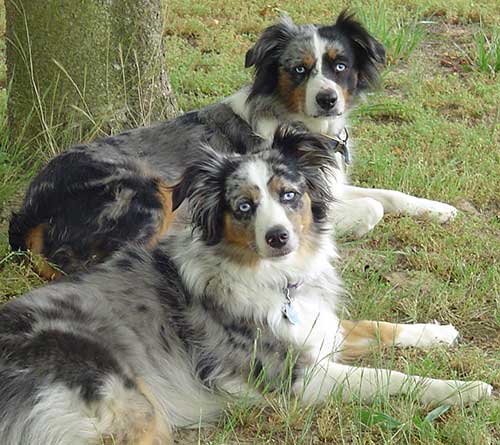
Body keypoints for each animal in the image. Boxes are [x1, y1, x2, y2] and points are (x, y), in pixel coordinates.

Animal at [0, 126, 490, 442]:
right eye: (243, 206)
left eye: (289, 194)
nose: (279, 237)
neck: (278, 280)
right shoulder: (294, 378)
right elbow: (391, 376)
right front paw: (466, 389)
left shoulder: (320, 331)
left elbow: (379, 326)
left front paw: (439, 334)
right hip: (136, 412)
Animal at [8, 10, 458, 278]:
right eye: (299, 70)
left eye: (340, 65)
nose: (328, 98)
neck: (297, 119)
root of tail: (28, 209)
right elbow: (370, 207)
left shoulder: (328, 180)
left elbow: (389, 194)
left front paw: (440, 209)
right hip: (146, 191)